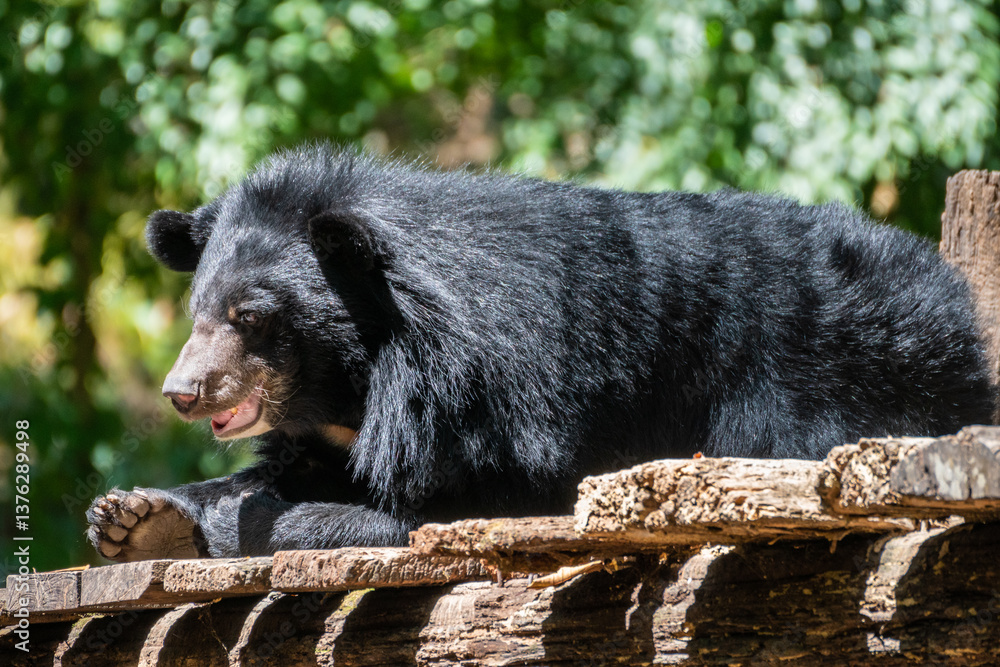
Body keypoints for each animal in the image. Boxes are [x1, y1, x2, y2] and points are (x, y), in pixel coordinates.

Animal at [87, 143, 995, 561]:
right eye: (198, 313)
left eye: (250, 316)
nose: (182, 391)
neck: (361, 381)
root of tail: (951, 296)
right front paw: (137, 515)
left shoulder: (511, 403)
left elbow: (460, 500)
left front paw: (258, 521)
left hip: (841, 371)